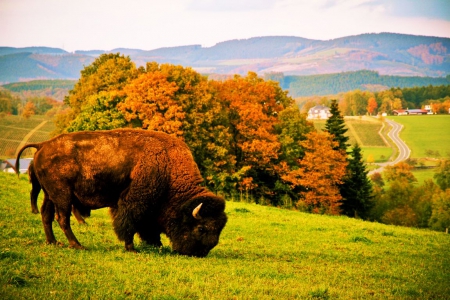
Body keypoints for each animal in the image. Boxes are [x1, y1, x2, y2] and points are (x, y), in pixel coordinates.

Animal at [16, 127, 229, 256]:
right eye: (201, 228)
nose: (199, 253)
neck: (167, 165)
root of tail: (42, 145)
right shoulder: (135, 201)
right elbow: (130, 223)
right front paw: (132, 248)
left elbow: (145, 227)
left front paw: (155, 244)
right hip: (62, 195)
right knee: (62, 218)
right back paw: (77, 245)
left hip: (50, 195)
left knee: (46, 215)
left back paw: (53, 242)